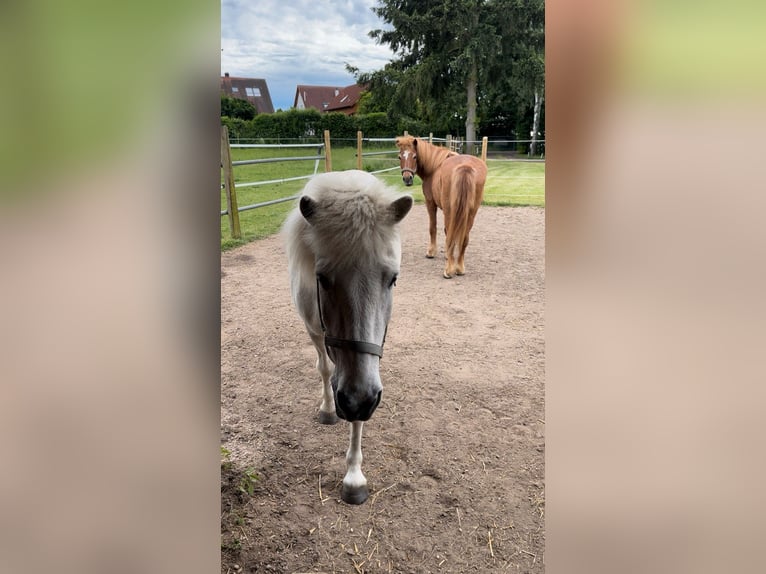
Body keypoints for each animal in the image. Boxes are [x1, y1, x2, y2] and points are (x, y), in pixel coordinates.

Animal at [284, 170, 414, 504]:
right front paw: (329, 409)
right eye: (322, 278)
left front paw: (354, 477)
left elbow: (358, 414)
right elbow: (325, 370)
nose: (357, 399)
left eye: (393, 278)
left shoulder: (365, 374)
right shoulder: (315, 331)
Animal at [400, 136, 488, 278]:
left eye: (414, 156)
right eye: (399, 157)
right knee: (464, 238)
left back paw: (449, 270)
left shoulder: (430, 203)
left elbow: (433, 228)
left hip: (449, 210)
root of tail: (465, 166)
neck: (434, 168)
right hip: (471, 213)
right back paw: (459, 268)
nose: (407, 178)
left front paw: (432, 252)